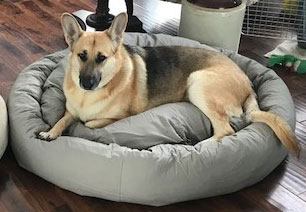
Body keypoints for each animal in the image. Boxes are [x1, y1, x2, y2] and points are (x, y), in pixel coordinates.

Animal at [37, 13, 298, 156]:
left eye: (102, 58)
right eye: (81, 56)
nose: (86, 83)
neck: (86, 97)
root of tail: (247, 82)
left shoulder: (116, 118)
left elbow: (88, 122)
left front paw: (79, 125)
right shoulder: (70, 110)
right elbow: (63, 118)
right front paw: (52, 131)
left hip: (198, 83)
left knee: (226, 130)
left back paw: (200, 145)